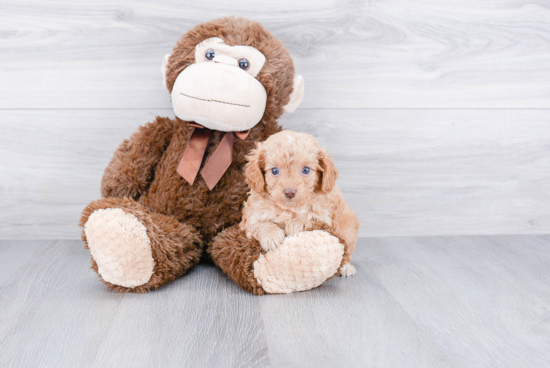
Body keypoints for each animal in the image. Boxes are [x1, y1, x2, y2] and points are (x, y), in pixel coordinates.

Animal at [242, 129, 362, 276]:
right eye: (274, 170)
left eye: (306, 170)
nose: (289, 192)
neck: (289, 209)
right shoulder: (251, 219)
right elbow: (263, 224)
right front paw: (271, 235)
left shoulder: (324, 218)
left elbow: (310, 218)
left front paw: (296, 224)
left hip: (348, 228)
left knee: (346, 249)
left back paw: (346, 267)